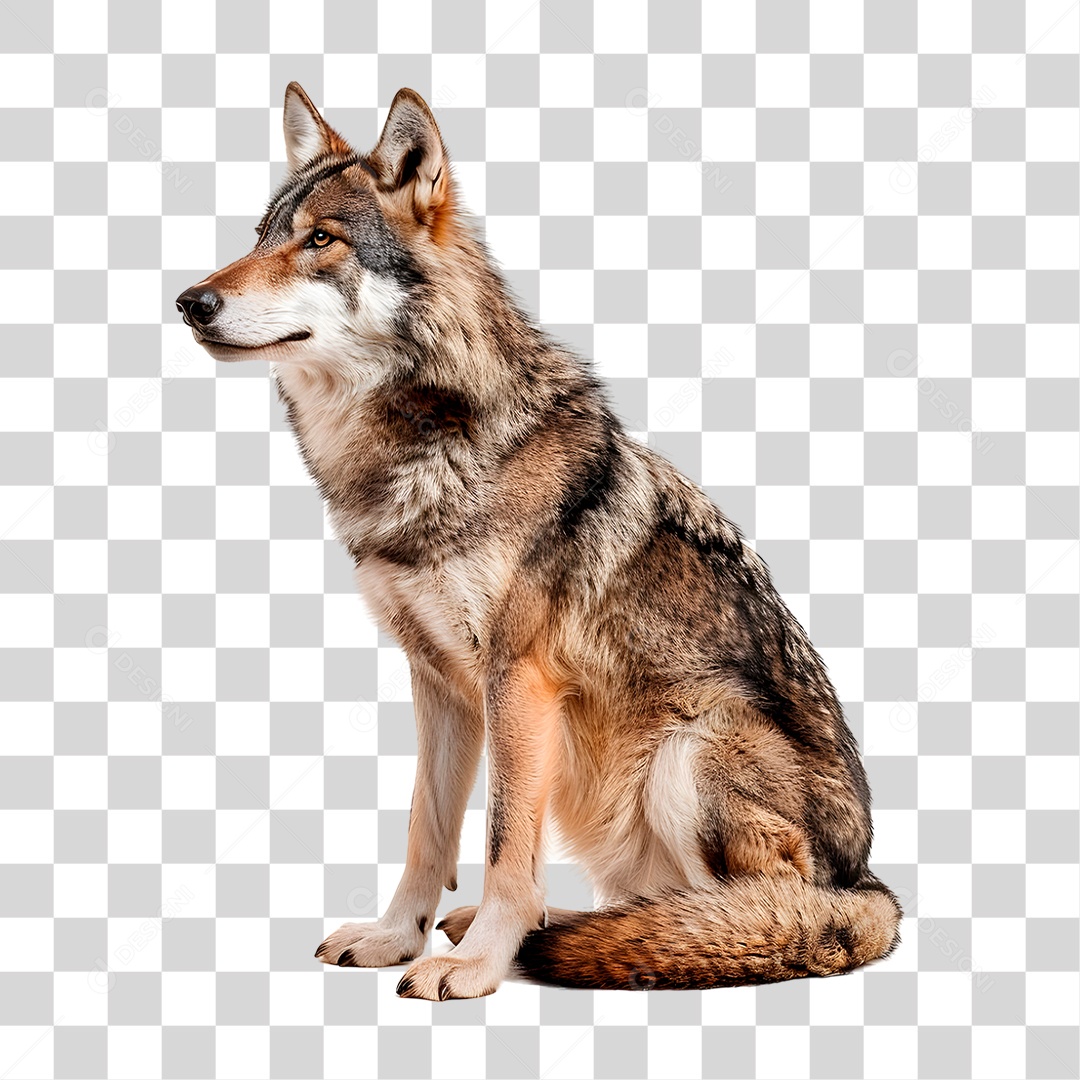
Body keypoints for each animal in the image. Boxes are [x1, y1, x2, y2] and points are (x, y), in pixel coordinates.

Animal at [176, 83, 902, 1000]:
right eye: (260, 235)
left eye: (320, 241)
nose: (191, 302)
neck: (423, 450)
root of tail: (871, 885)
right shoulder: (438, 681)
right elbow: (427, 829)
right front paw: (397, 938)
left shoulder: (516, 679)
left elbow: (502, 844)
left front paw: (477, 963)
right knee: (657, 904)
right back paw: (563, 927)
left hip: (686, 752)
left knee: (757, 914)